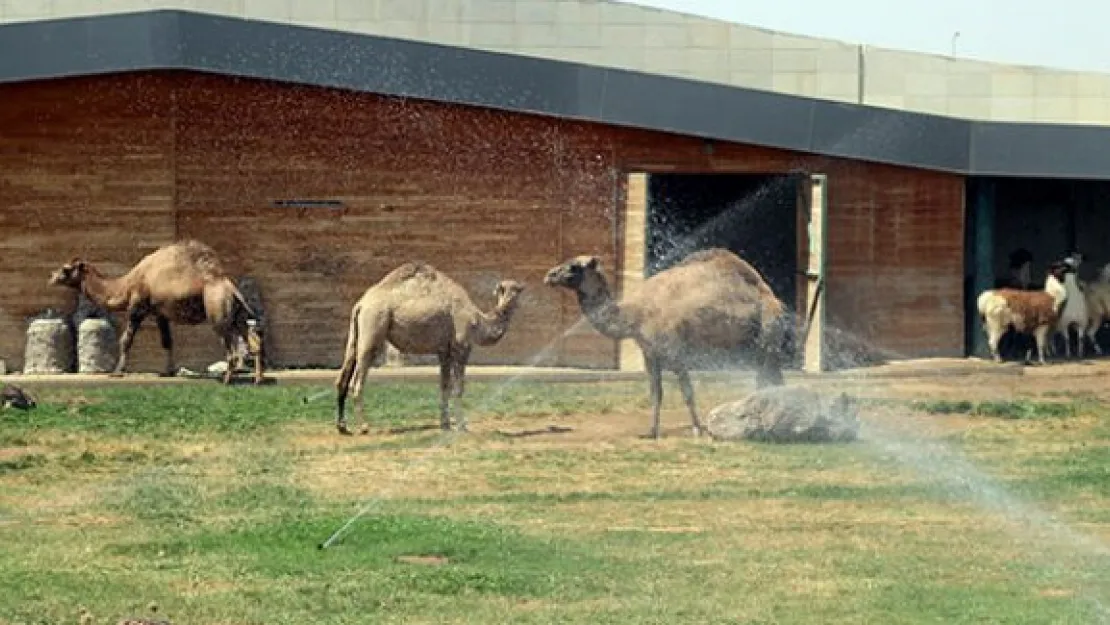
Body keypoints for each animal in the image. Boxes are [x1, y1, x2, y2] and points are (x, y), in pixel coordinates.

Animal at [49, 240, 264, 384]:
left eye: (65, 269)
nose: (51, 277)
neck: (125, 286)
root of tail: (230, 287)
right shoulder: (160, 313)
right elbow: (167, 341)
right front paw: (168, 371)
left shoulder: (137, 307)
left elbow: (126, 340)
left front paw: (117, 372)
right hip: (237, 314)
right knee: (253, 339)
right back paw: (258, 379)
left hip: (217, 311)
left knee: (231, 345)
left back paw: (227, 379)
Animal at [335, 263, 526, 435]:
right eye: (511, 290)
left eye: (517, 290)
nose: (515, 298)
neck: (478, 321)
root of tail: (361, 304)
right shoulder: (462, 347)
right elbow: (458, 388)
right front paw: (462, 426)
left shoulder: (444, 352)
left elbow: (444, 386)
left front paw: (445, 425)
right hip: (373, 325)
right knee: (357, 381)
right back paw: (364, 427)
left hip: (356, 333)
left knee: (343, 377)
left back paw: (343, 427)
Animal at [543, 247, 790, 437]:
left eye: (575, 266)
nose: (549, 275)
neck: (636, 314)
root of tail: (769, 294)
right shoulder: (650, 354)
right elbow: (656, 393)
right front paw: (651, 432)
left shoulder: (674, 351)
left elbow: (687, 392)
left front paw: (697, 430)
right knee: (767, 377)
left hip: (768, 330)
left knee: (768, 375)